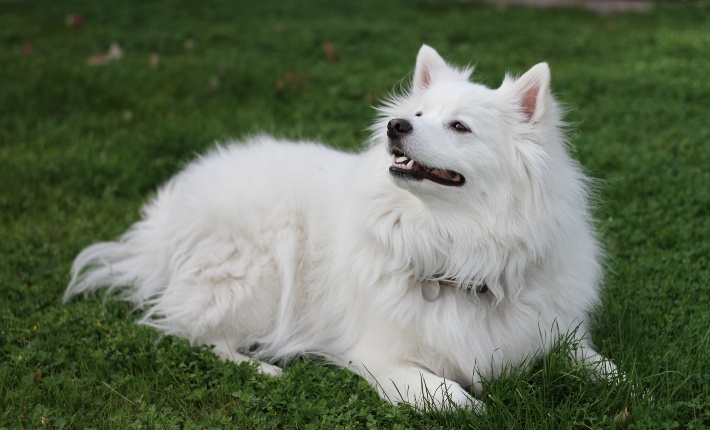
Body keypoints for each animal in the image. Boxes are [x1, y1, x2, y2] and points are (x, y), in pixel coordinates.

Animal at [68, 45, 624, 412]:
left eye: (460, 126)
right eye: (417, 114)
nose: (396, 126)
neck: (459, 250)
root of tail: (166, 217)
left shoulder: (554, 331)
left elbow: (604, 366)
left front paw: (625, 386)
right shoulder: (381, 357)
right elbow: (446, 394)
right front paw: (474, 403)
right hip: (262, 276)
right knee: (195, 333)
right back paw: (264, 367)